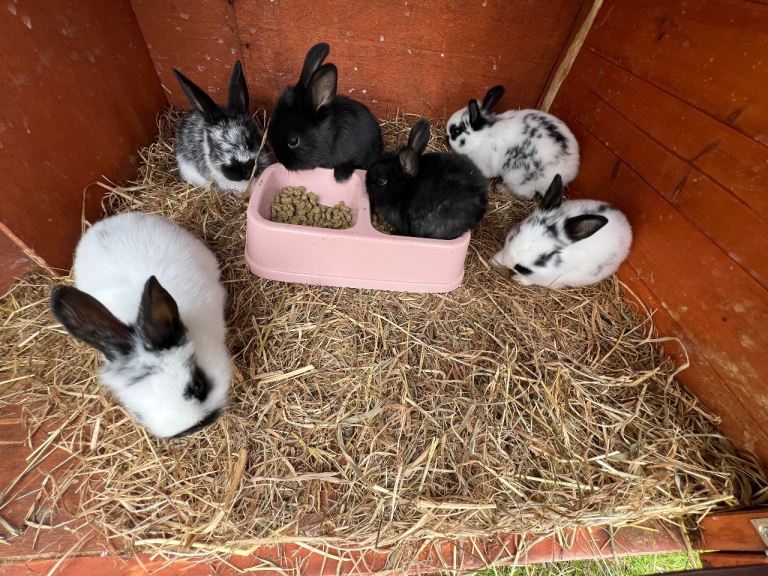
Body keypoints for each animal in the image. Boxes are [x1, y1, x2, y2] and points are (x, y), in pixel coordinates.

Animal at [446, 85, 579, 199]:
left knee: (527, 195)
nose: (446, 138)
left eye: (456, 131)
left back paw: (501, 187)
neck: (482, 136)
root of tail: (569, 173)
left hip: (518, 178)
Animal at [491, 174, 632, 288]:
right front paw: (495, 260)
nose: (511, 263)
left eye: (545, 257)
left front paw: (517, 278)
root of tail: (625, 222)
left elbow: (531, 280)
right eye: (517, 231)